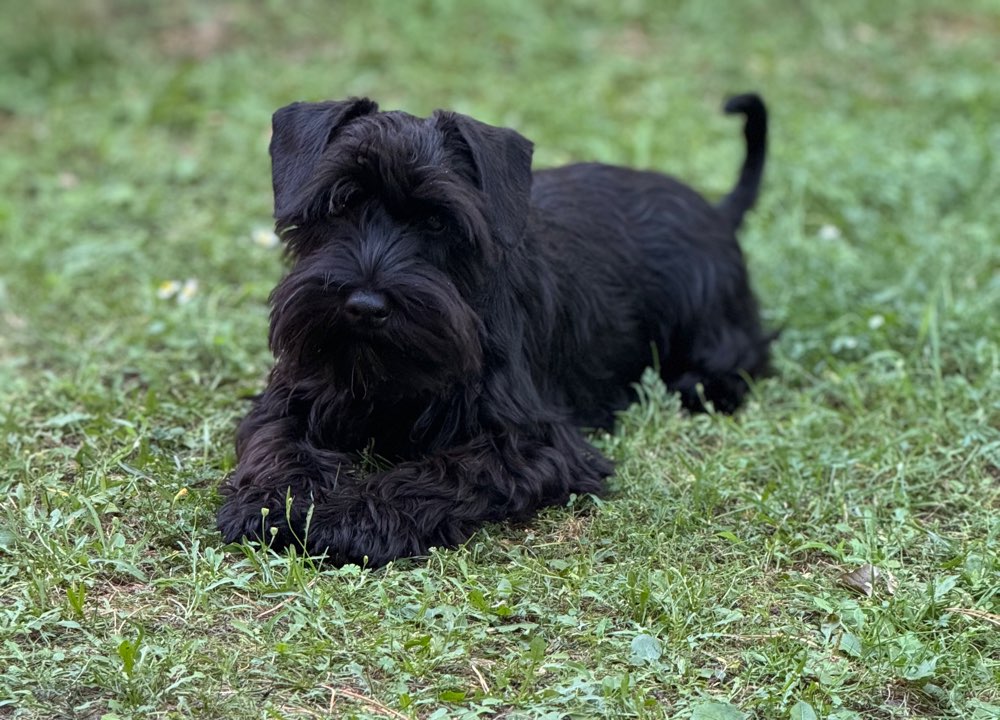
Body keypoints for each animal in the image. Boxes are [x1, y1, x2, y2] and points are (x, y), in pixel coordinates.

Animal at [215, 94, 768, 568]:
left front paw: (352, 519)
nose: (366, 307)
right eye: (340, 204)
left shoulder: (531, 444)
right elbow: (278, 444)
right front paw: (271, 504)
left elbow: (435, 473)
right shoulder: (291, 396)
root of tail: (717, 213)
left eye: (437, 222)